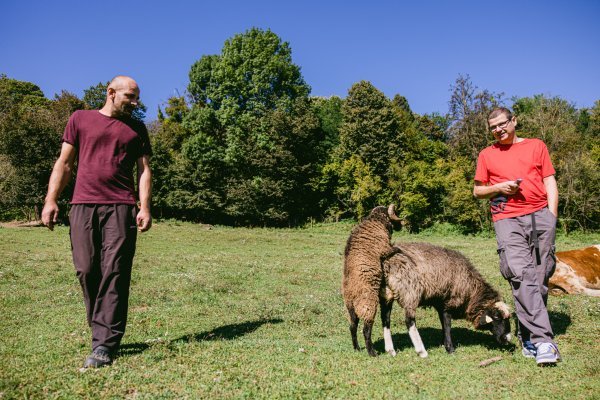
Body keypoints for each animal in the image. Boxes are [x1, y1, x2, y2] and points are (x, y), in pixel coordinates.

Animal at [340, 205, 400, 354]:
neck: (375, 220)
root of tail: (351, 294)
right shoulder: (384, 247)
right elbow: (392, 249)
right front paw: (398, 248)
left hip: (352, 309)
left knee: (352, 327)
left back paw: (357, 348)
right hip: (368, 306)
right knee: (366, 330)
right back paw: (372, 352)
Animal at [382, 242, 512, 358]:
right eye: (496, 317)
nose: (507, 338)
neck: (472, 291)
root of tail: (388, 261)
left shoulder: (440, 304)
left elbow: (443, 325)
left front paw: (443, 343)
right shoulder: (448, 304)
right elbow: (447, 325)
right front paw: (450, 349)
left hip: (386, 293)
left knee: (385, 319)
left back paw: (390, 350)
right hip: (410, 292)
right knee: (409, 321)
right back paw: (421, 351)